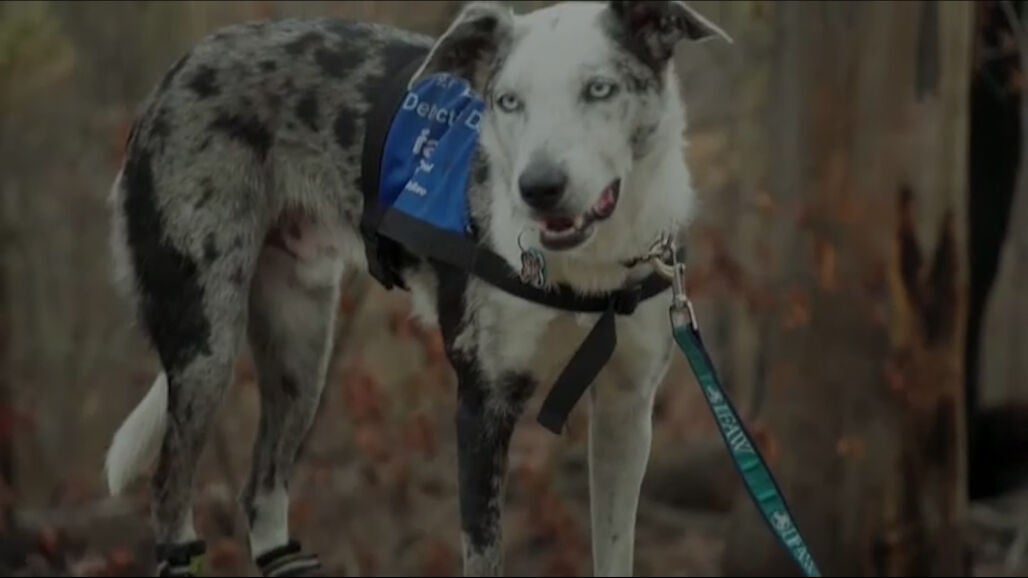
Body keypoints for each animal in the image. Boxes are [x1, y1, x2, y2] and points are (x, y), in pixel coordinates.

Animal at [103, 1, 731, 576]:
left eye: (599, 89)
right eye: (508, 101)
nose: (538, 188)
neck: (583, 268)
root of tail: (179, 70)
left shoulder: (627, 410)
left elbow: (615, 550)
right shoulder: (482, 406)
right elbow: (484, 556)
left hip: (301, 353)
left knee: (260, 492)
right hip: (207, 345)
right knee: (168, 494)